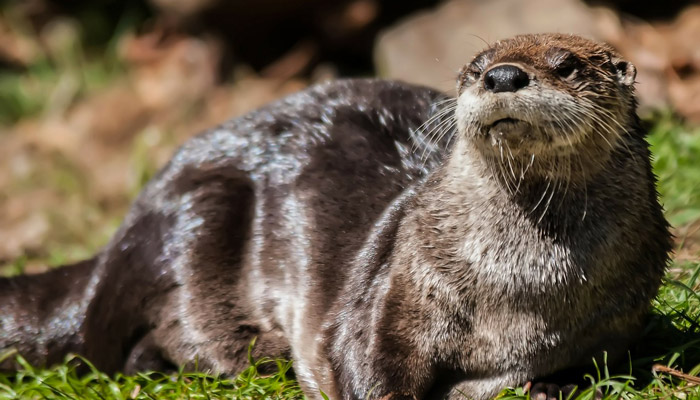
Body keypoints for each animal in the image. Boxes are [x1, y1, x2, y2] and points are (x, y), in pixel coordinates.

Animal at [0, 34, 672, 400]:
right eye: (475, 67)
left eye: (566, 64)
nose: (503, 75)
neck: (517, 285)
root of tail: (117, 241)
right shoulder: (399, 285)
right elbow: (362, 357)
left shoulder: (615, 322)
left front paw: (542, 385)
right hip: (194, 219)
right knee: (135, 346)